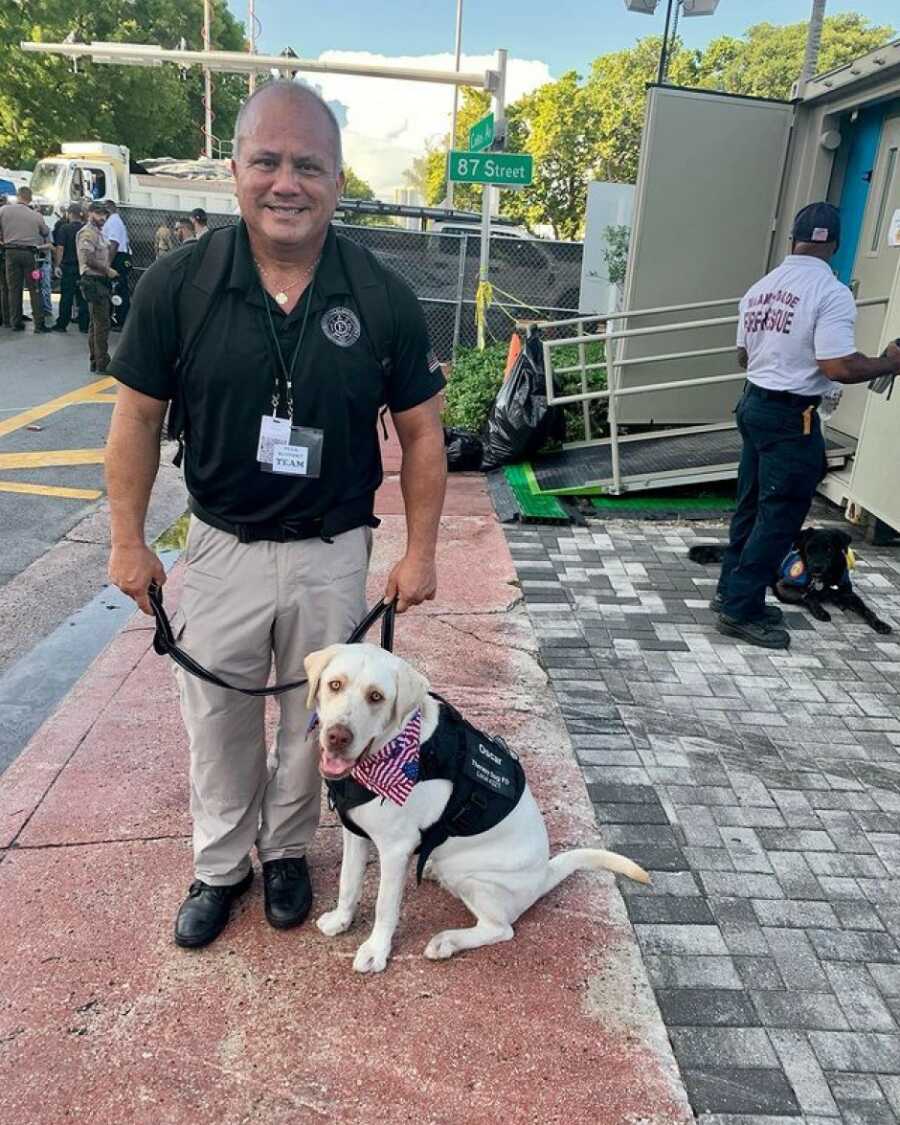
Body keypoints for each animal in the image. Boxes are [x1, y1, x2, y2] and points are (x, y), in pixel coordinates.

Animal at [306, 643, 652, 976]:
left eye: (376, 696)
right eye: (335, 684)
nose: (337, 736)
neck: (388, 757)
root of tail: (544, 875)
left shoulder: (394, 849)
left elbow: (384, 907)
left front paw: (376, 951)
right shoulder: (355, 833)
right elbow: (348, 883)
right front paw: (340, 920)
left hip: (474, 879)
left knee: (500, 929)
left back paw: (448, 941)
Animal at [688, 526, 891, 634]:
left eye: (829, 549)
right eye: (810, 549)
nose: (816, 567)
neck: (824, 580)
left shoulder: (849, 594)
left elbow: (867, 610)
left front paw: (880, 623)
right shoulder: (783, 586)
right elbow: (809, 596)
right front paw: (820, 610)